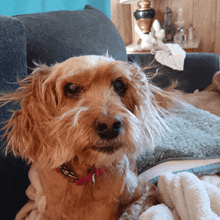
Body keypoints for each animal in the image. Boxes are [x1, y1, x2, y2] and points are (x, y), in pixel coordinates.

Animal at [0, 54, 170, 218]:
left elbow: (130, 213)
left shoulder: (146, 190)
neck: (82, 177)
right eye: (72, 88)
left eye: (119, 85)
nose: (109, 126)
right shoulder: (49, 212)